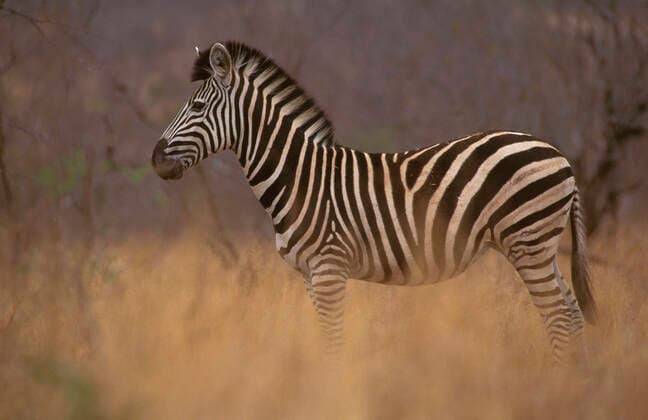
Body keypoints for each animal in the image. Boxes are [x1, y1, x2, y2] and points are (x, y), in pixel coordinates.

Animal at [151, 41, 596, 362]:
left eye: (197, 106)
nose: (155, 160)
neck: (300, 178)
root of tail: (559, 155)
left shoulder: (329, 269)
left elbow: (333, 343)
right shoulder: (310, 275)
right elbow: (325, 341)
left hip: (528, 242)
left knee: (559, 319)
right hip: (540, 247)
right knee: (573, 317)